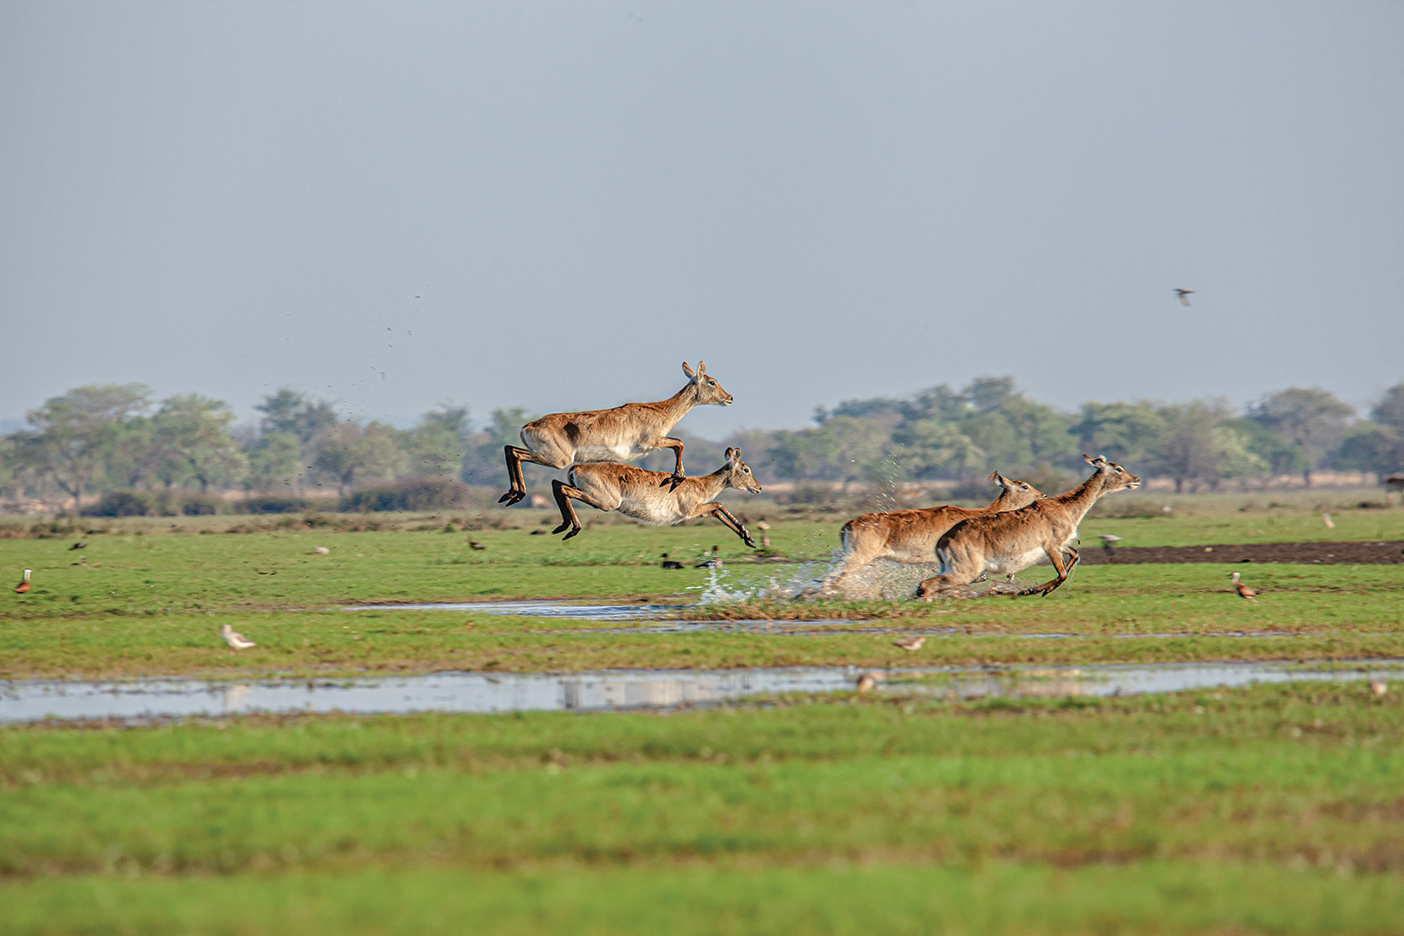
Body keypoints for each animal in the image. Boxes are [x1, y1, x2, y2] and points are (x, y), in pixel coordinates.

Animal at [497, 362, 735, 505]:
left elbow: (679, 443)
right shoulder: (651, 442)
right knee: (515, 453)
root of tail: (527, 427)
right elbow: (679, 443)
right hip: (557, 460)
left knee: (510, 449)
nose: (730, 397)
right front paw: (676, 478)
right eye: (711, 381)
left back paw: (511, 495)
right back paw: (517, 495)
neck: (662, 410)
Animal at [550, 449, 769, 544]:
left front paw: (748, 538)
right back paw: (572, 529)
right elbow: (719, 504)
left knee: (556, 484)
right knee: (563, 490)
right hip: (604, 502)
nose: (758, 488)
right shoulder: (691, 510)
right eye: (746, 469)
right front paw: (748, 536)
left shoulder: (697, 512)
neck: (701, 485)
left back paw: (561, 527)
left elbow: (717, 511)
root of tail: (576, 468)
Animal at [915, 454, 1145, 600]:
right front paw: (1032, 590)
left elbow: (1074, 557)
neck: (1066, 507)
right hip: (964, 571)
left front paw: (1033, 590)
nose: (1136, 479)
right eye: (1118, 468)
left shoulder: (1062, 545)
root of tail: (943, 541)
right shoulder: (1051, 547)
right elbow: (1062, 573)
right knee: (926, 585)